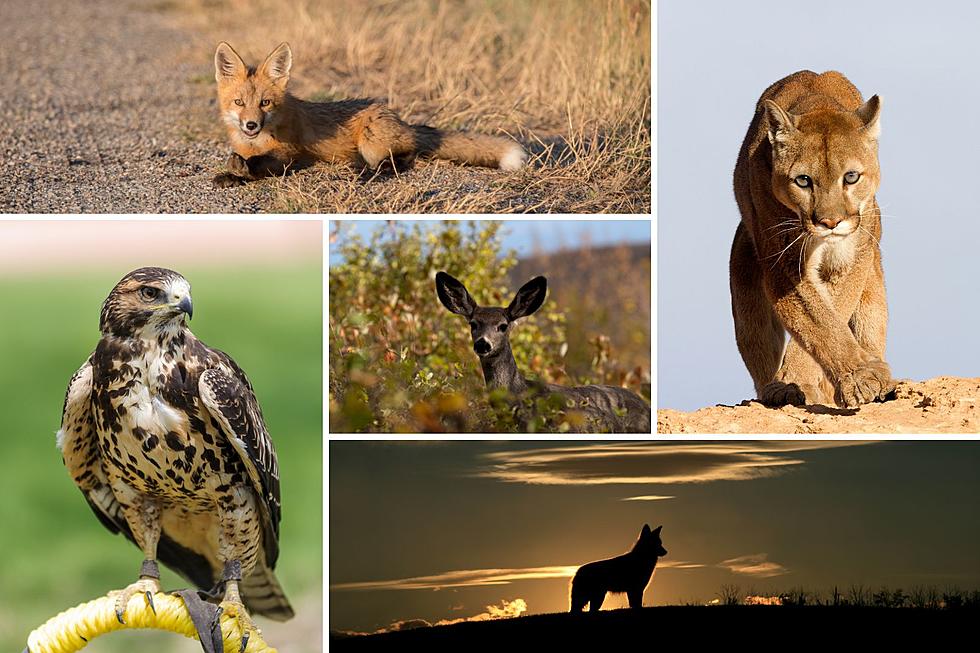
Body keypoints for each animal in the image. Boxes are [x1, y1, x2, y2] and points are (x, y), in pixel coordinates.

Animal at [213, 41, 528, 186]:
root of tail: (399, 118)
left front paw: (242, 171)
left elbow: (263, 165)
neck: (256, 142)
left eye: (265, 103)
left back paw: (372, 173)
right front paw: (231, 174)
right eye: (239, 102)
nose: (251, 125)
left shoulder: (291, 154)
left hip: (372, 141)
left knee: (403, 159)